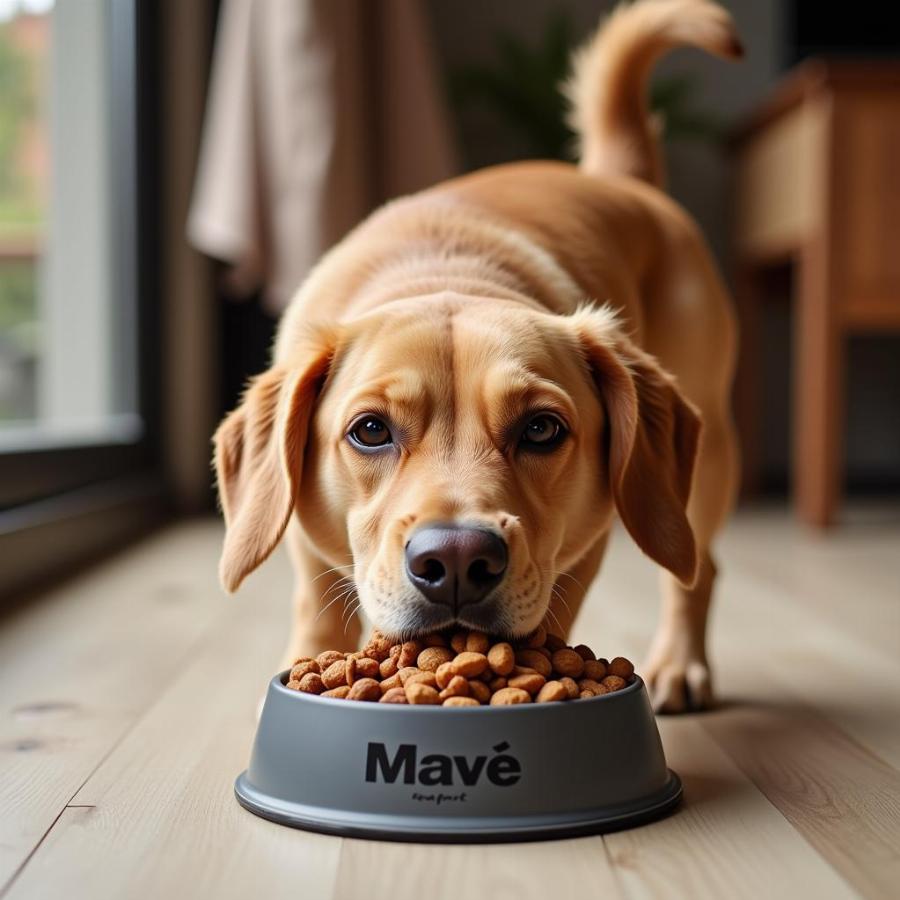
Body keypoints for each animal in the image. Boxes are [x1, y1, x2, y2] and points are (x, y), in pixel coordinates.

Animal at [214, 1, 740, 716]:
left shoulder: (583, 544)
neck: (445, 270)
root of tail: (618, 181)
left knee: (697, 567)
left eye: (542, 428)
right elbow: (318, 615)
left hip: (705, 461)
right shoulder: (304, 542)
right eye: (369, 430)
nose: (458, 560)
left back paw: (680, 662)